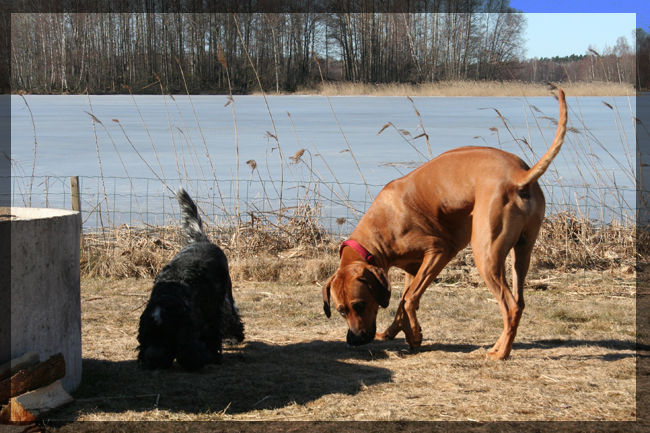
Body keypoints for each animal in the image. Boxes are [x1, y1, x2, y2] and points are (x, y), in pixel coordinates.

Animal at [138, 187, 244, 370]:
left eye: (167, 336)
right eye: (148, 335)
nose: (152, 362)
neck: (174, 293)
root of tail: (202, 240)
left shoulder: (213, 315)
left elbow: (211, 337)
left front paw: (210, 356)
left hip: (225, 296)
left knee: (232, 314)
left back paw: (235, 337)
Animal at [322, 89, 564, 360]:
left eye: (360, 305)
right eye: (341, 310)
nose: (355, 341)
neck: (377, 233)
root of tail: (519, 175)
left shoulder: (439, 251)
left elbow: (409, 299)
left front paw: (414, 336)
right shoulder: (412, 268)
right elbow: (403, 301)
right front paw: (396, 332)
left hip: (486, 253)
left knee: (510, 306)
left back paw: (501, 353)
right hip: (522, 252)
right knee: (519, 300)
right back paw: (498, 345)